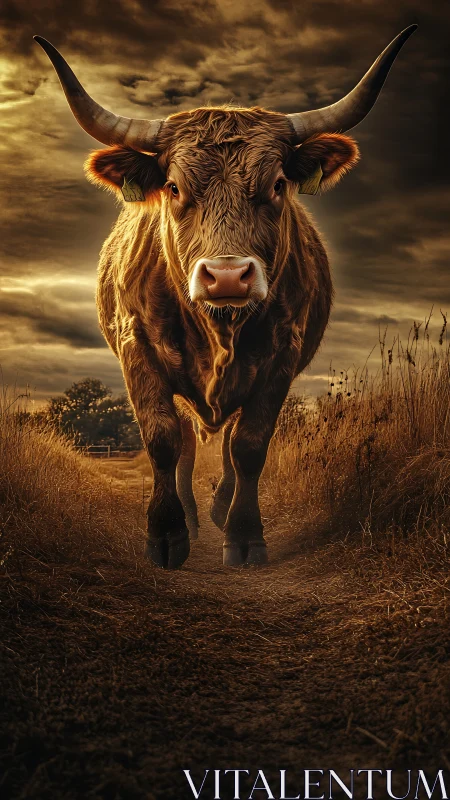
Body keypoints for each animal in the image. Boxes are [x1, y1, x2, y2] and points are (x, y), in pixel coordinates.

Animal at [34, 26, 416, 569]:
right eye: (174, 187)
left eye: (277, 185)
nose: (228, 276)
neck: (218, 330)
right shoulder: (138, 349)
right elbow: (163, 440)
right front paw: (167, 534)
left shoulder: (281, 355)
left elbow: (249, 445)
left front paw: (243, 535)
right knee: (187, 445)